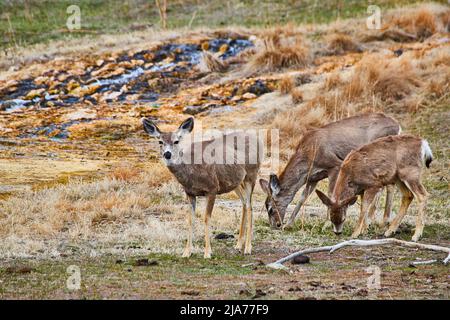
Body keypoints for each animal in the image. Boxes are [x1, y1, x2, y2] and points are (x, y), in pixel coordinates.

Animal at [141, 116, 260, 258]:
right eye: (160, 141)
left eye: (176, 141)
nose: (167, 154)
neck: (193, 171)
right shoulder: (190, 193)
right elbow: (190, 220)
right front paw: (186, 252)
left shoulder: (212, 188)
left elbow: (206, 218)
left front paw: (207, 252)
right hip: (235, 182)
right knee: (244, 203)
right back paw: (238, 244)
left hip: (251, 175)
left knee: (250, 206)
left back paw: (248, 248)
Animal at [258, 114, 400, 229]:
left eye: (270, 209)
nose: (276, 225)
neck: (309, 154)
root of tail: (397, 125)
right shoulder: (313, 178)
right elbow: (303, 198)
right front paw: (289, 224)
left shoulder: (334, 165)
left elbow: (330, 194)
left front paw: (326, 224)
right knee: (390, 185)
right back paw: (383, 221)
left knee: (382, 187)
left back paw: (371, 221)